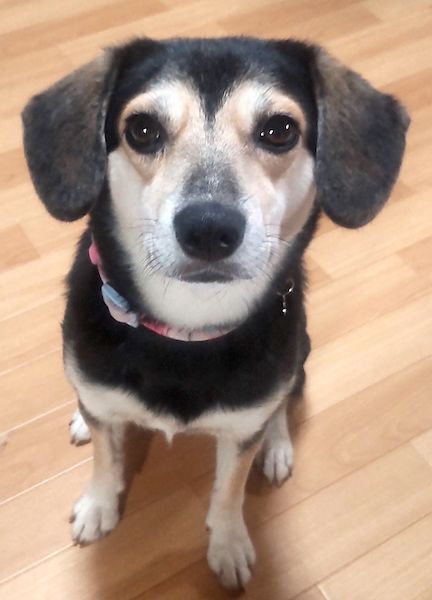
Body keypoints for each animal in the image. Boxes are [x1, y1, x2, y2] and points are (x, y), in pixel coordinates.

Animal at [22, 37, 409, 590]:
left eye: (280, 130)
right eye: (142, 130)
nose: (208, 228)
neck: (184, 328)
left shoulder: (245, 423)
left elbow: (230, 488)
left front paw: (228, 544)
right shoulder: (99, 395)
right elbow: (105, 458)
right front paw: (98, 506)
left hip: (300, 347)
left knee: (285, 400)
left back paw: (276, 446)